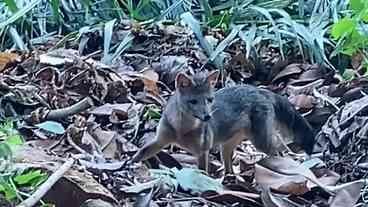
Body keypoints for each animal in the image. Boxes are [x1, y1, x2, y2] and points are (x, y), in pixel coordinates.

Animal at [131, 70, 314, 174]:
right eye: (193, 102)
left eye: (209, 100)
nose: (207, 117)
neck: (181, 131)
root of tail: (259, 90)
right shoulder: (160, 141)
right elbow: (142, 152)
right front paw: (130, 163)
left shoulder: (202, 150)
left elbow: (202, 172)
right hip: (226, 146)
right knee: (229, 167)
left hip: (261, 142)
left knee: (279, 148)